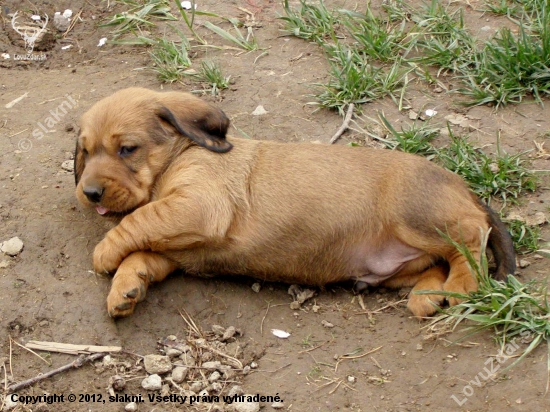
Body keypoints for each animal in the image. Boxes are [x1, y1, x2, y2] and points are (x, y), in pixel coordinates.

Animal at [75, 87, 520, 318]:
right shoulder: (174, 248)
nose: (89, 193)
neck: (181, 154)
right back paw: (428, 296)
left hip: (417, 216)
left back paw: (459, 288)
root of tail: (465, 188)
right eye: (85, 151)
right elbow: (141, 253)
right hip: (403, 262)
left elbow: (136, 222)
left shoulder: (195, 207)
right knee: (438, 262)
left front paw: (104, 252)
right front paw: (126, 287)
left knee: (470, 237)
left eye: (127, 149)